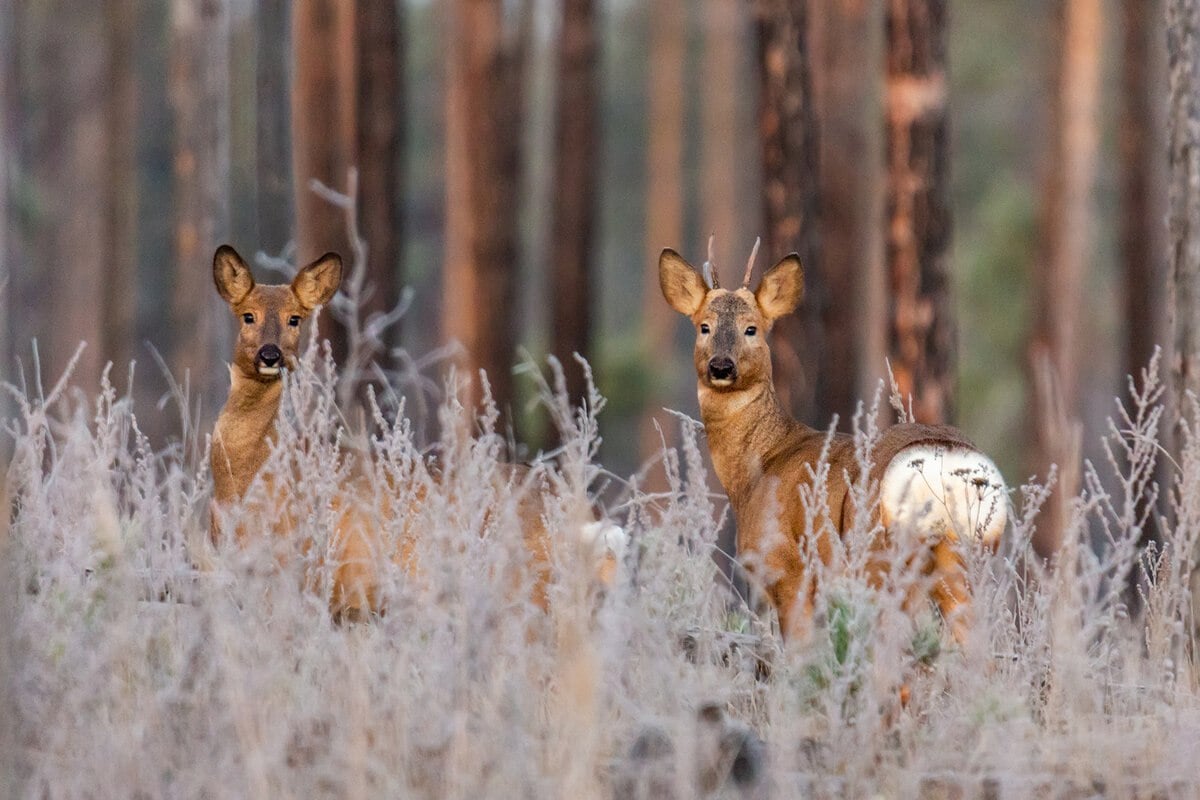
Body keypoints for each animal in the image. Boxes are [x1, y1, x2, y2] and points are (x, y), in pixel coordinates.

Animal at [662, 241, 1008, 642]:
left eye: (752, 329)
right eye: (704, 326)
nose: (721, 366)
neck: (758, 466)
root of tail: (946, 464)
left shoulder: (788, 568)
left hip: (880, 556)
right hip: (969, 558)